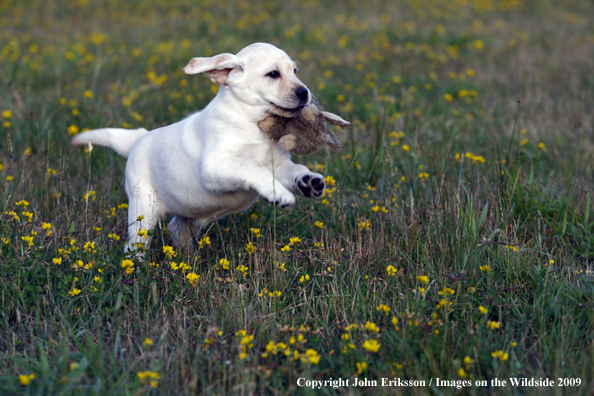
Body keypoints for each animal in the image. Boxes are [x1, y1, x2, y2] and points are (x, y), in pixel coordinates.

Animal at [73, 41, 328, 252]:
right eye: (273, 74)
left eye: (295, 72)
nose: (304, 92)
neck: (252, 122)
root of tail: (140, 138)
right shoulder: (214, 167)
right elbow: (251, 165)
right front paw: (279, 193)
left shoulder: (279, 163)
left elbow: (294, 169)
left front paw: (308, 181)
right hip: (144, 209)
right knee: (135, 246)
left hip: (196, 212)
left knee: (176, 228)